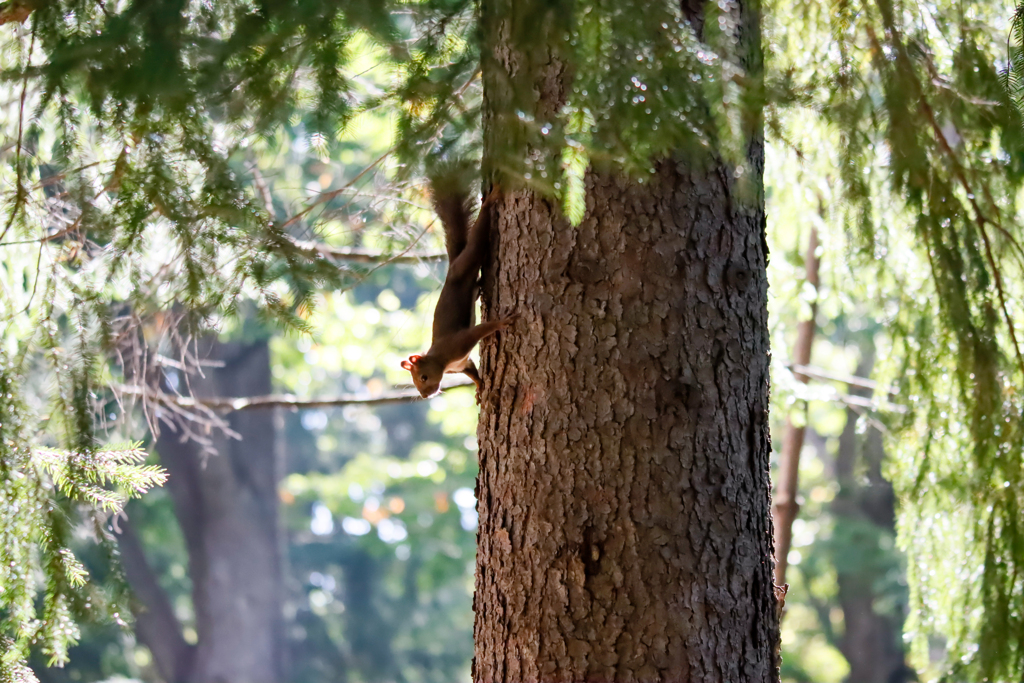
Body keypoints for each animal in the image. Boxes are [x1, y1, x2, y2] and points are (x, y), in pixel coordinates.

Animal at [397, 178, 512, 401]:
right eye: (414, 383)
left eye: (423, 377)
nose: (425, 396)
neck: (442, 361)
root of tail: (452, 267)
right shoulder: (462, 364)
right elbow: (472, 372)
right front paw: (480, 386)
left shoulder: (459, 343)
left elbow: (479, 331)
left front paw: (502, 322)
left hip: (466, 263)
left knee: (476, 243)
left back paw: (490, 201)